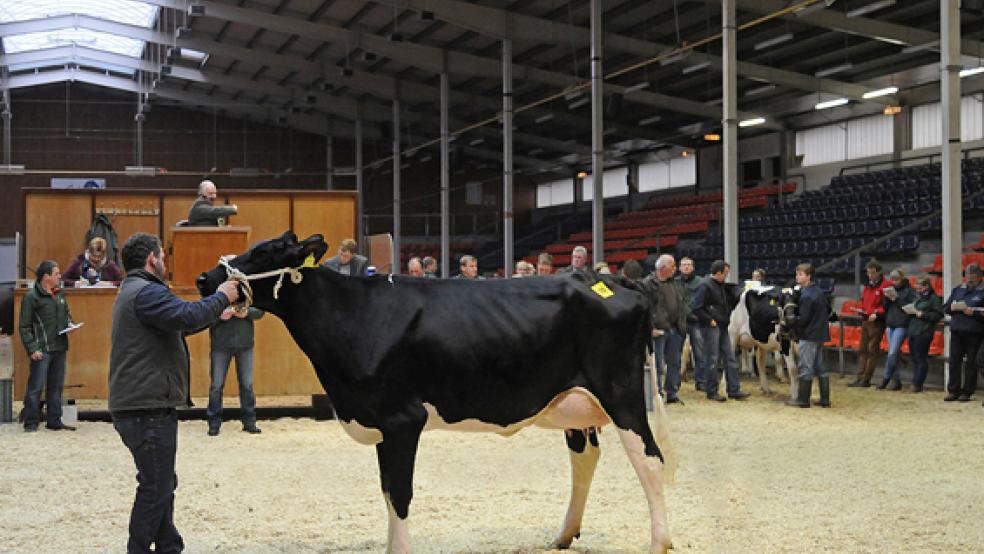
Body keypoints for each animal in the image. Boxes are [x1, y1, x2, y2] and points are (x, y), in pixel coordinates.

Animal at [197, 231, 680, 548]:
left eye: (267, 251)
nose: (205, 279)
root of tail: (612, 281)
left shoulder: (401, 419)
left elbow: (400, 495)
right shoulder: (381, 422)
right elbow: (387, 491)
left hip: (621, 392)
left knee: (649, 460)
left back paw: (659, 542)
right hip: (575, 401)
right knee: (585, 457)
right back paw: (563, 535)